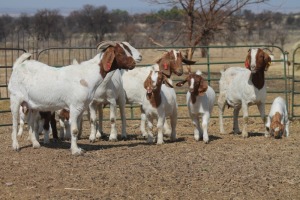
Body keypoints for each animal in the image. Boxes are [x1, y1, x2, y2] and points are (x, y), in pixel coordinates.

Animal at [8, 40, 139, 155]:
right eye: (121, 52)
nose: (133, 63)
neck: (87, 74)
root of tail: (17, 67)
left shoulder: (82, 107)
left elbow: (78, 128)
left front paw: (78, 147)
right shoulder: (75, 106)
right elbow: (74, 130)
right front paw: (76, 151)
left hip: (32, 105)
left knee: (31, 123)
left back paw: (35, 144)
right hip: (15, 99)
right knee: (14, 122)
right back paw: (15, 146)